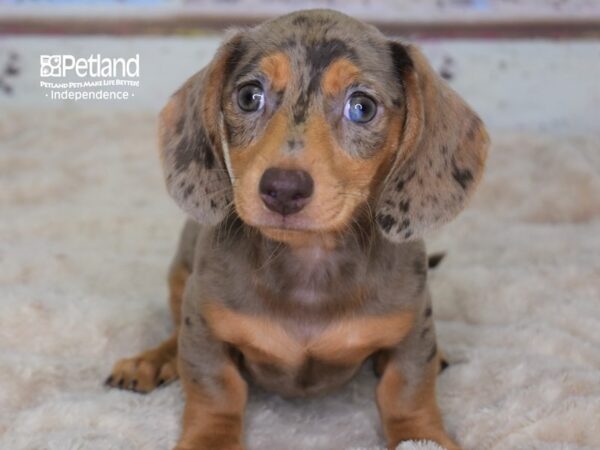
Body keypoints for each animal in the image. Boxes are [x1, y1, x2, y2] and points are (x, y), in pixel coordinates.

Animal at [106, 8, 488, 448]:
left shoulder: (412, 329)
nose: (283, 189)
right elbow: (215, 388)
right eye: (249, 96)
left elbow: (408, 390)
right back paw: (151, 359)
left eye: (362, 107)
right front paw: (211, 438)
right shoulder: (203, 325)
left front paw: (421, 434)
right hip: (180, 279)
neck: (310, 262)